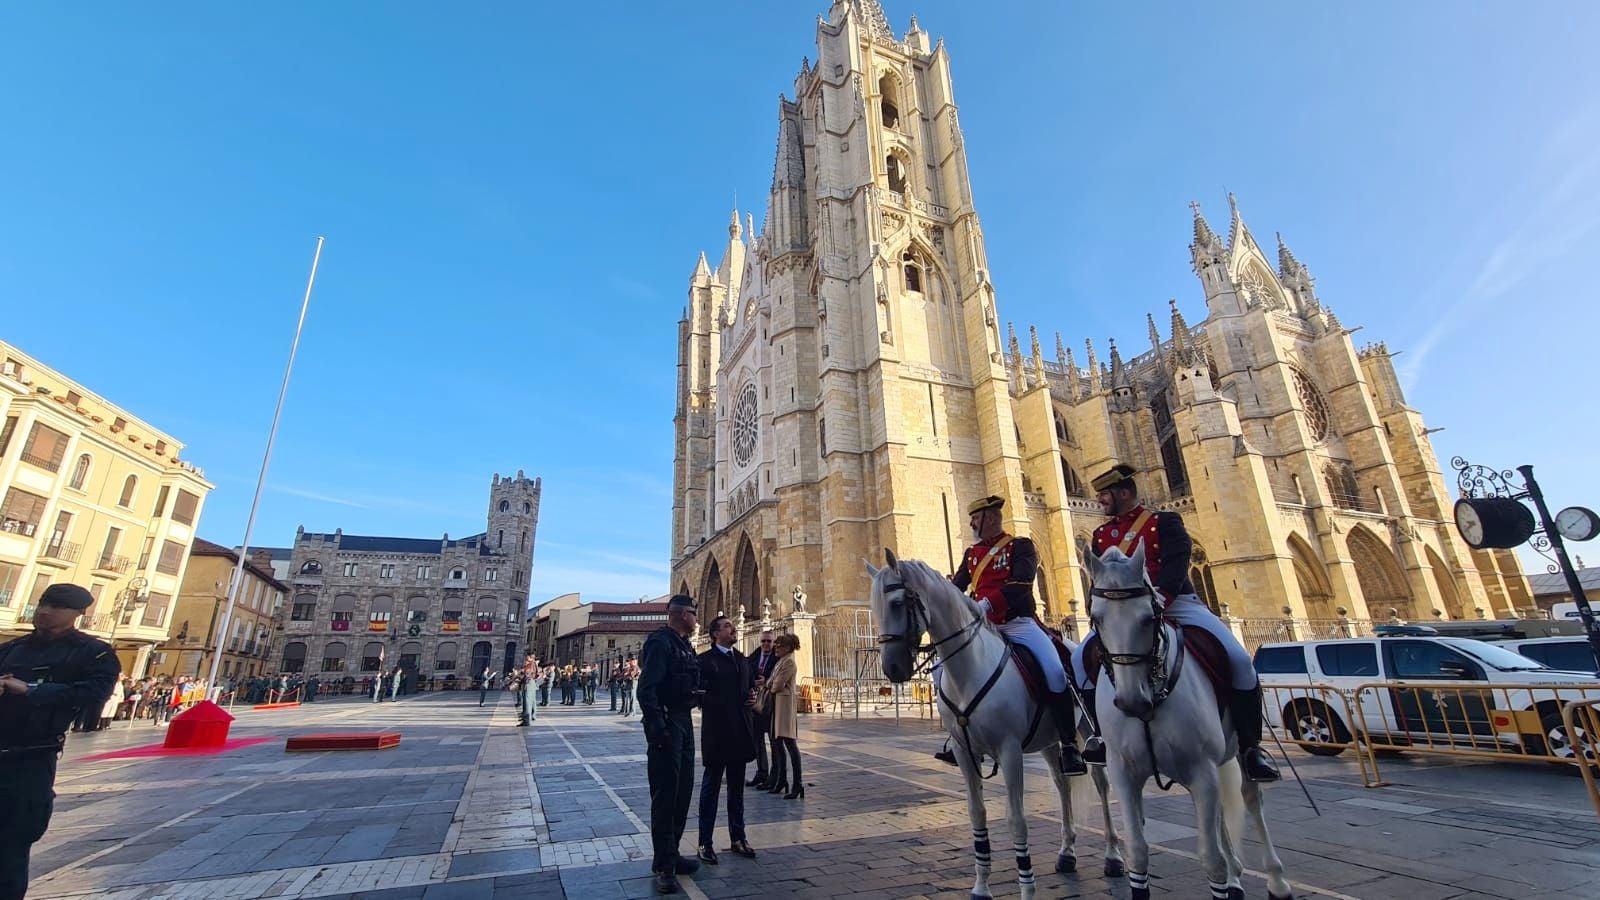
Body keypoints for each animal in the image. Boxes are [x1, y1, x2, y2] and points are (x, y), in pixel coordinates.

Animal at [864, 547, 1126, 896]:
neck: (969, 668)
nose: (892, 668)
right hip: (1050, 739)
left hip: (1088, 732)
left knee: (1100, 782)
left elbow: (1017, 820)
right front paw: (981, 886)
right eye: (874, 608)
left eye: (896, 603)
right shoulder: (964, 752)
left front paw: (1027, 888)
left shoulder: (1010, 751)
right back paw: (1067, 852)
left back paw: (1113, 855)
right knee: (1062, 783)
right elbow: (977, 815)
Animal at [1081, 538, 1292, 896]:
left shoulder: (1200, 770)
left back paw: (1275, 880)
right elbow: (1138, 851)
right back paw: (1237, 876)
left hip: (1235, 750)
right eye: (1096, 617)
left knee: (1250, 798)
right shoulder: (1125, 769)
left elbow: (1211, 859)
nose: (1131, 700)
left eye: (1149, 617)